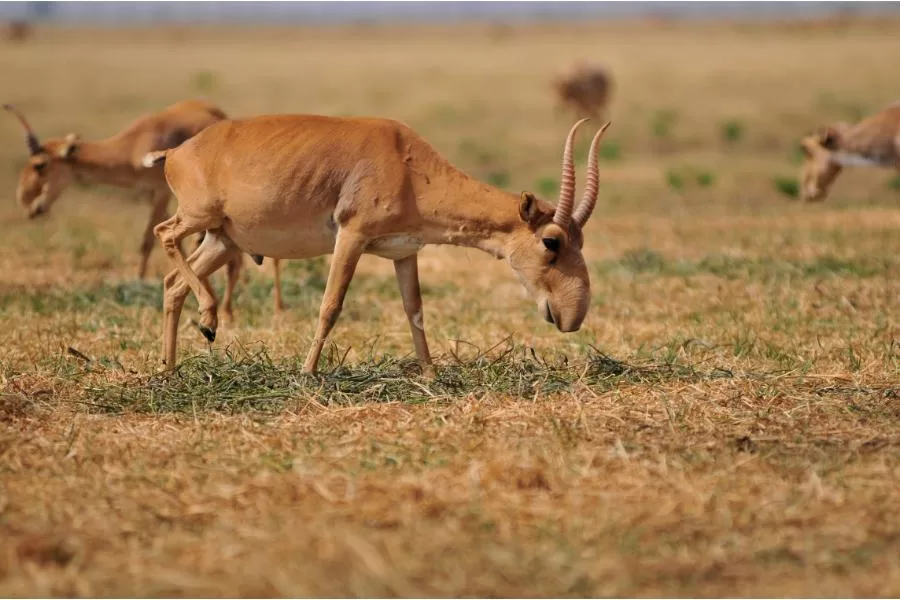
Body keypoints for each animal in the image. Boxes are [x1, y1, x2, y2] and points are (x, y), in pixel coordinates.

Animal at [1, 102, 284, 318]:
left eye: (40, 165)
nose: (29, 206)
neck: (133, 146)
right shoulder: (153, 197)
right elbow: (162, 243)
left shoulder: (160, 193)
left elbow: (148, 242)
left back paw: (245, 308)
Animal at [148, 113, 612, 376]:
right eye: (551, 241)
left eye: (581, 239)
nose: (571, 316)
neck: (406, 162)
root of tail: (176, 152)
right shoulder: (351, 237)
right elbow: (330, 305)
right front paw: (307, 373)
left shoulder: (404, 252)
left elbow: (415, 311)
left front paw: (430, 375)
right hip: (199, 219)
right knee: (164, 234)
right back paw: (208, 319)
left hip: (223, 240)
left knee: (172, 283)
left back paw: (171, 369)